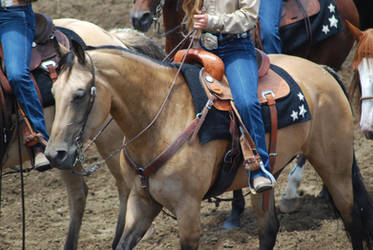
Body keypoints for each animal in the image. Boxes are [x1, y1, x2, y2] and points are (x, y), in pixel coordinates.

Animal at [0, 18, 164, 250]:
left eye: (79, 95)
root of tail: (112, 36)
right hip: (63, 152)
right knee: (78, 195)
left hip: (109, 140)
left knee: (123, 187)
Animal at [45, 38, 372, 248]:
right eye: (53, 92)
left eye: (79, 94)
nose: (54, 154)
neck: (160, 118)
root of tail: (322, 71)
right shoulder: (142, 204)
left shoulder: (188, 211)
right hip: (267, 178)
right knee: (268, 229)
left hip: (335, 168)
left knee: (353, 220)